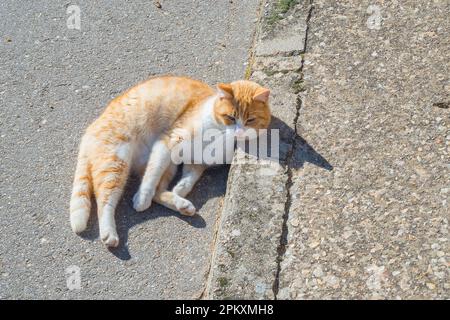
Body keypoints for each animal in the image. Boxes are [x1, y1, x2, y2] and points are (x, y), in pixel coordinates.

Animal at [70, 76, 270, 246]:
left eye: (250, 120)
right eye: (231, 117)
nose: (239, 132)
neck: (220, 135)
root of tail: (90, 129)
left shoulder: (196, 163)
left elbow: (189, 179)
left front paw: (180, 189)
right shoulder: (167, 141)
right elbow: (151, 178)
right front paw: (142, 199)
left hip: (168, 166)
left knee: (157, 191)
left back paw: (182, 205)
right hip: (115, 163)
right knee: (105, 200)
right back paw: (109, 233)